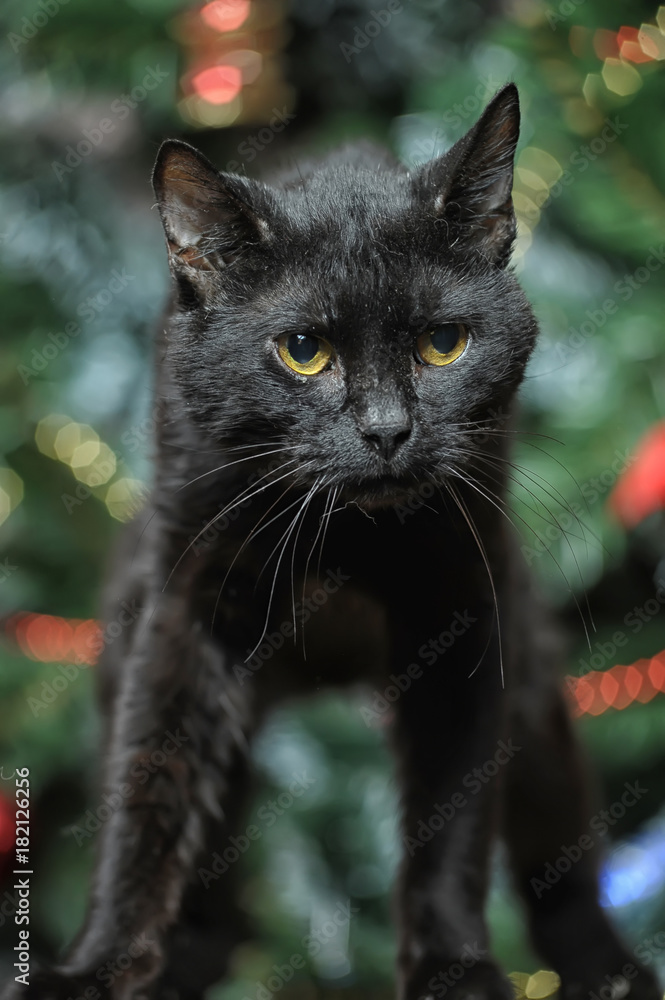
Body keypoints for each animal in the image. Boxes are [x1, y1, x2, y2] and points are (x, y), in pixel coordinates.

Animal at [7, 84, 660, 1000]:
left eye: (442, 344)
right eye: (303, 351)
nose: (387, 430)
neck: (344, 539)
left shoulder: (460, 606)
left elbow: (453, 810)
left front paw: (454, 967)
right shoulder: (182, 602)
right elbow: (147, 786)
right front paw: (94, 965)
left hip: (531, 669)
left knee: (557, 844)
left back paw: (608, 969)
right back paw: (188, 961)